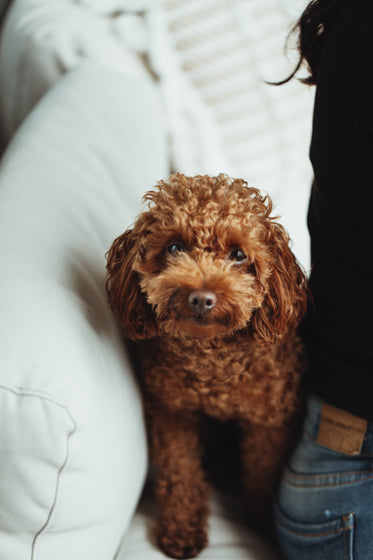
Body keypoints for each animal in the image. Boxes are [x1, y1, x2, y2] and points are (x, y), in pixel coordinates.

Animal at [104, 173, 306, 556]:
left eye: (238, 254)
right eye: (174, 248)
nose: (201, 298)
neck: (211, 364)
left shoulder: (269, 421)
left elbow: (263, 475)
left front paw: (262, 524)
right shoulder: (171, 412)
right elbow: (180, 472)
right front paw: (182, 529)